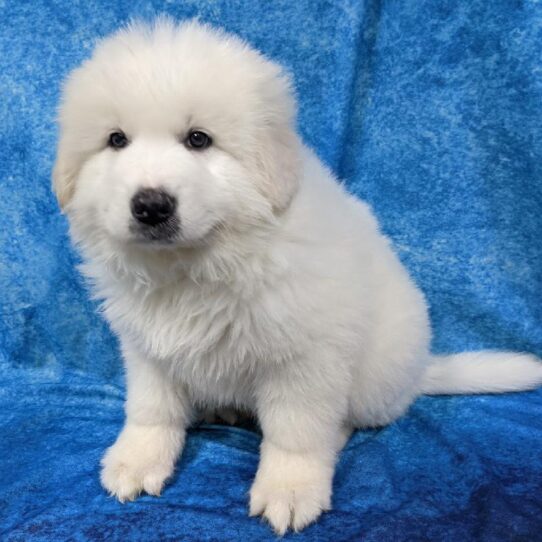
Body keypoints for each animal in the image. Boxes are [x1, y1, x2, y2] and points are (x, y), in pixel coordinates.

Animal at [53, 18, 542, 536]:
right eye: (116, 140)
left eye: (199, 140)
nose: (150, 205)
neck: (195, 266)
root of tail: (420, 371)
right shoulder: (147, 346)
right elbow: (151, 408)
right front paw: (138, 458)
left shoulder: (305, 358)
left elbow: (295, 431)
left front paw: (289, 489)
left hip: (374, 378)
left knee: (348, 418)